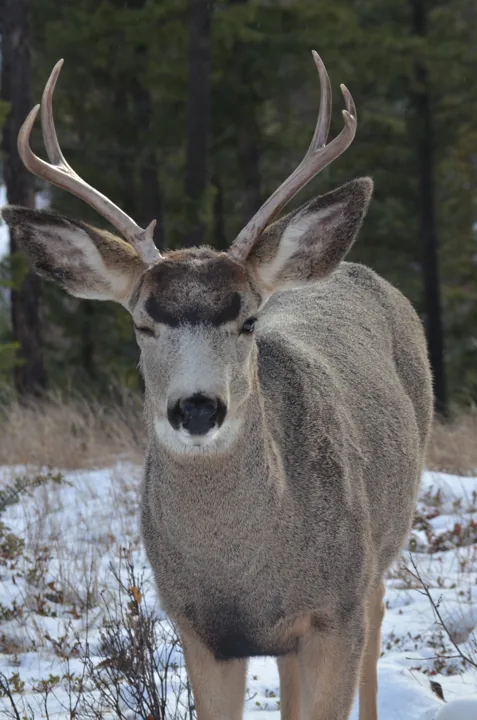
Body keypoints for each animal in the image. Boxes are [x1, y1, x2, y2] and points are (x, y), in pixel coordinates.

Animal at [1, 52, 433, 720]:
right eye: (142, 322)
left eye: (248, 320)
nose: (198, 408)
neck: (242, 576)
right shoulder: (199, 630)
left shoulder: (336, 609)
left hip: (381, 544)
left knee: (379, 616)